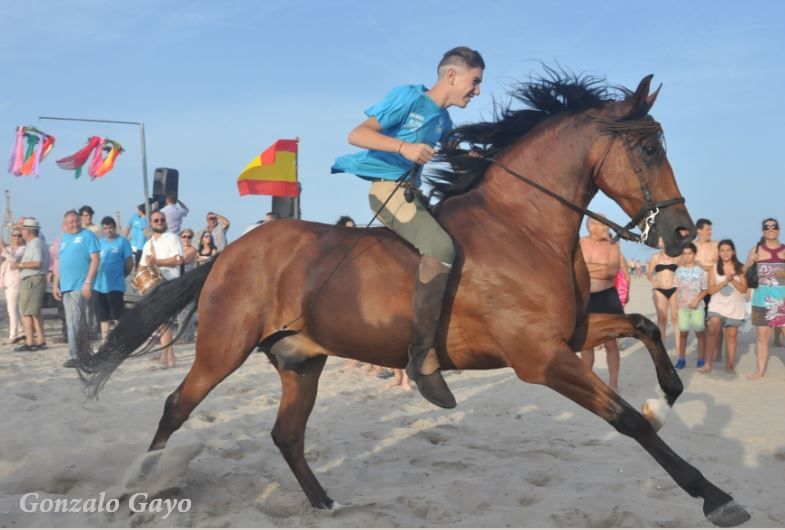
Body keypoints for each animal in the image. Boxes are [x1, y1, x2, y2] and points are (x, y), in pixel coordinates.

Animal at [76, 72, 752, 524]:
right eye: (648, 147)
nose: (681, 235)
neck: (524, 226)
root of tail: (228, 252)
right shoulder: (540, 359)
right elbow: (628, 420)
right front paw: (714, 496)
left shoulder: (568, 335)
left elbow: (643, 323)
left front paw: (670, 389)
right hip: (222, 346)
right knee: (175, 408)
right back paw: (133, 490)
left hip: (301, 359)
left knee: (286, 434)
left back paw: (325, 502)